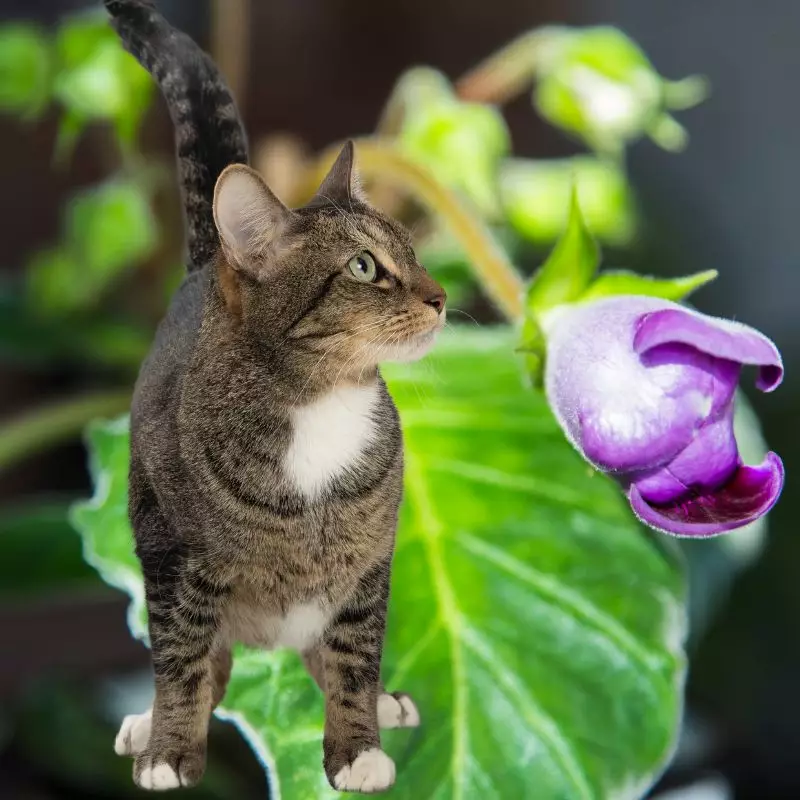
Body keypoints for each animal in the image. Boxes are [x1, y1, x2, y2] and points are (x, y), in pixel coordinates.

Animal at [104, 0, 446, 792]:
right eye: (363, 267)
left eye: (412, 252)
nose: (441, 296)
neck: (322, 405)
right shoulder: (173, 559)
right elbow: (183, 661)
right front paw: (170, 748)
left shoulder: (369, 562)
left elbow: (353, 659)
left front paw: (357, 746)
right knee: (209, 664)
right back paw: (148, 725)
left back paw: (384, 703)